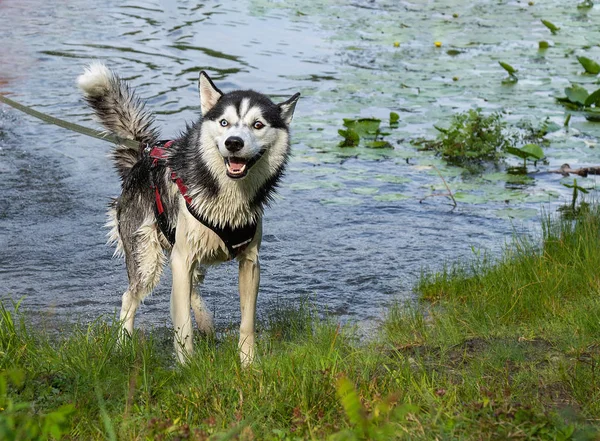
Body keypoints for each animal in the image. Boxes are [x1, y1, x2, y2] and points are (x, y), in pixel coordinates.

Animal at [78, 62, 300, 364]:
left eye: (258, 125)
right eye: (224, 123)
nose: (233, 142)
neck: (227, 194)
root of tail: (143, 158)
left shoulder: (250, 262)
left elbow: (247, 322)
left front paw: (248, 364)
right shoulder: (182, 259)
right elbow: (183, 325)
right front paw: (187, 366)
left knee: (192, 289)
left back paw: (205, 321)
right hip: (148, 259)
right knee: (130, 297)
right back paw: (123, 345)